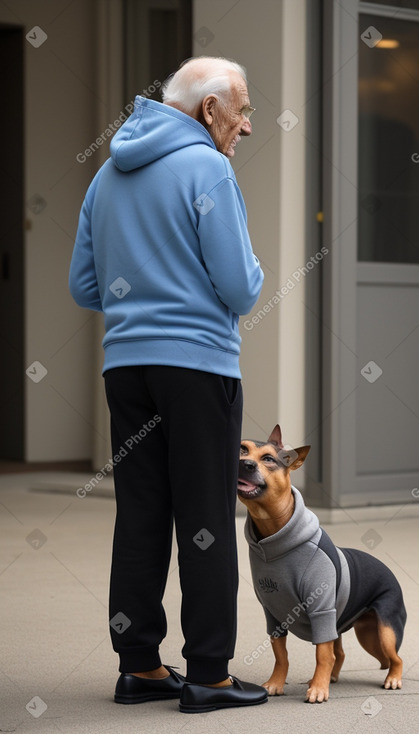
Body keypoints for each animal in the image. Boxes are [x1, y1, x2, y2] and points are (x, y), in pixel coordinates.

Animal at [240, 428, 406, 704]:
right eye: (242, 449)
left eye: (269, 459)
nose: (245, 464)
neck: (274, 535)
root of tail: (387, 569)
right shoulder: (273, 616)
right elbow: (281, 655)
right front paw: (277, 683)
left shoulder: (321, 610)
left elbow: (322, 655)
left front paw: (318, 689)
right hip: (358, 631)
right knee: (341, 653)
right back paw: (332, 677)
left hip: (383, 632)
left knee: (395, 657)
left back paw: (393, 678)